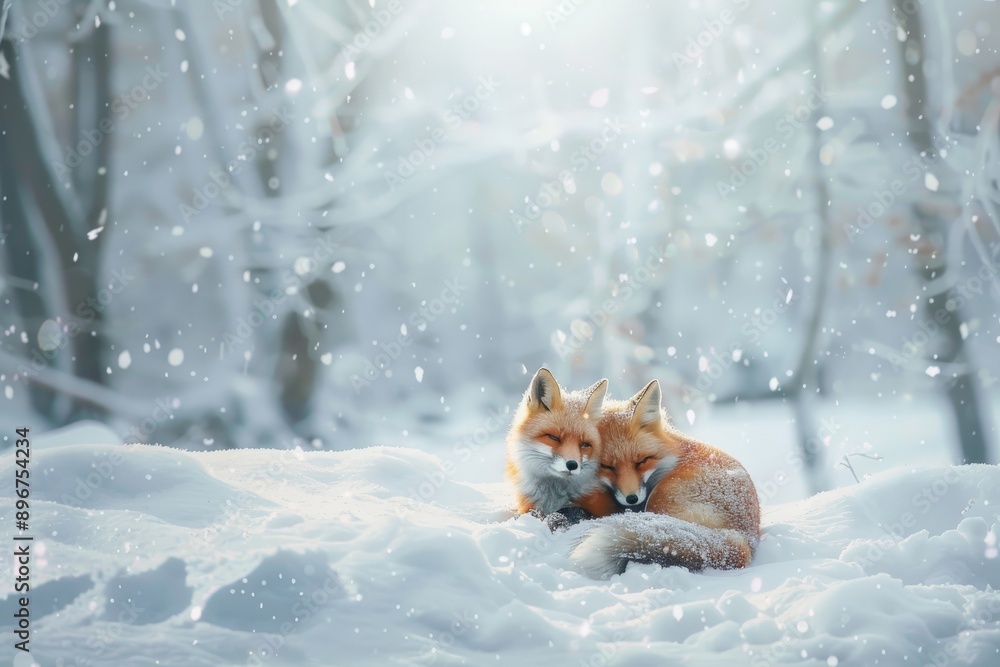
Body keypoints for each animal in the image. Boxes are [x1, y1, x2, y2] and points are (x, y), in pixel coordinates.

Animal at [570, 379, 761, 578]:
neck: (675, 455)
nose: (632, 499)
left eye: (642, 461)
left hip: (660, 499)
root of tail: (744, 541)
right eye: (606, 466)